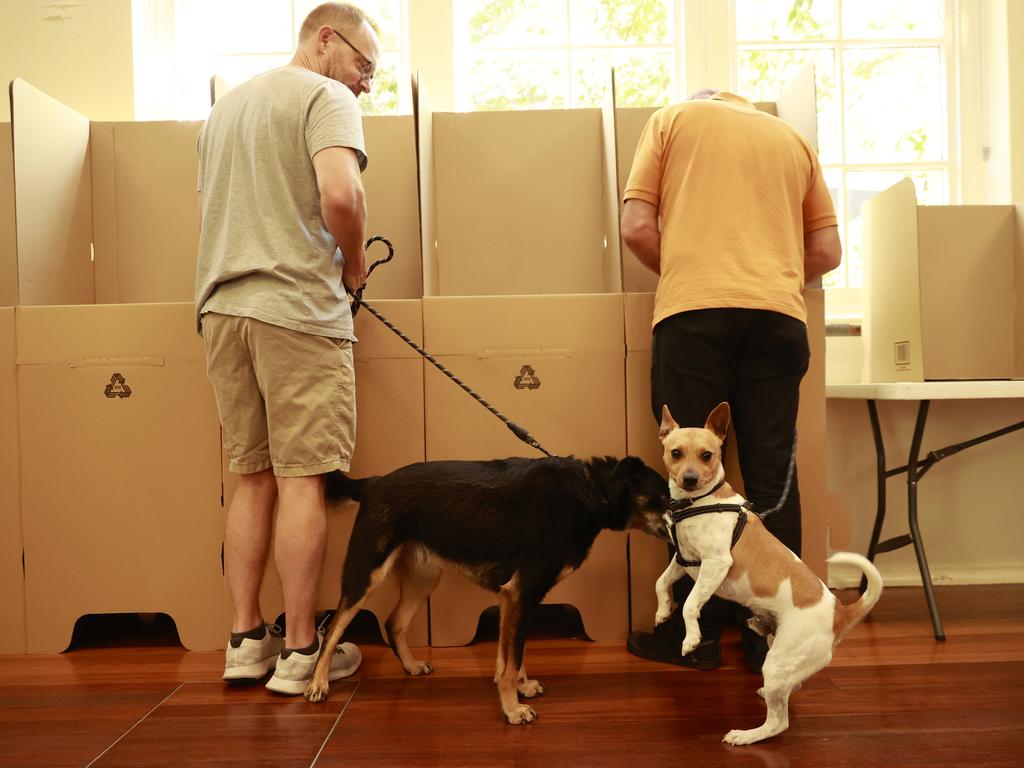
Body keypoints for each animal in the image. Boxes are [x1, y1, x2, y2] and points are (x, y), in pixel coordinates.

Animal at [303, 454, 671, 724]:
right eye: (667, 497)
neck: (591, 490)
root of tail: (373, 483)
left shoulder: (516, 601)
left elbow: (511, 657)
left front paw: (521, 689)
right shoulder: (520, 594)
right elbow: (510, 662)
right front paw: (513, 709)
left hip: (424, 578)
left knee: (394, 623)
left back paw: (410, 666)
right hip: (366, 574)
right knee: (334, 628)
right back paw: (318, 683)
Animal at [659, 403, 884, 745]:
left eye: (707, 455)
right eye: (676, 452)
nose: (690, 478)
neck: (698, 503)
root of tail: (840, 614)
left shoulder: (715, 564)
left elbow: (690, 605)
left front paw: (691, 638)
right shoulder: (683, 560)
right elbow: (661, 584)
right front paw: (661, 612)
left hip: (779, 661)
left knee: (779, 722)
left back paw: (746, 735)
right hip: (781, 655)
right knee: (790, 690)